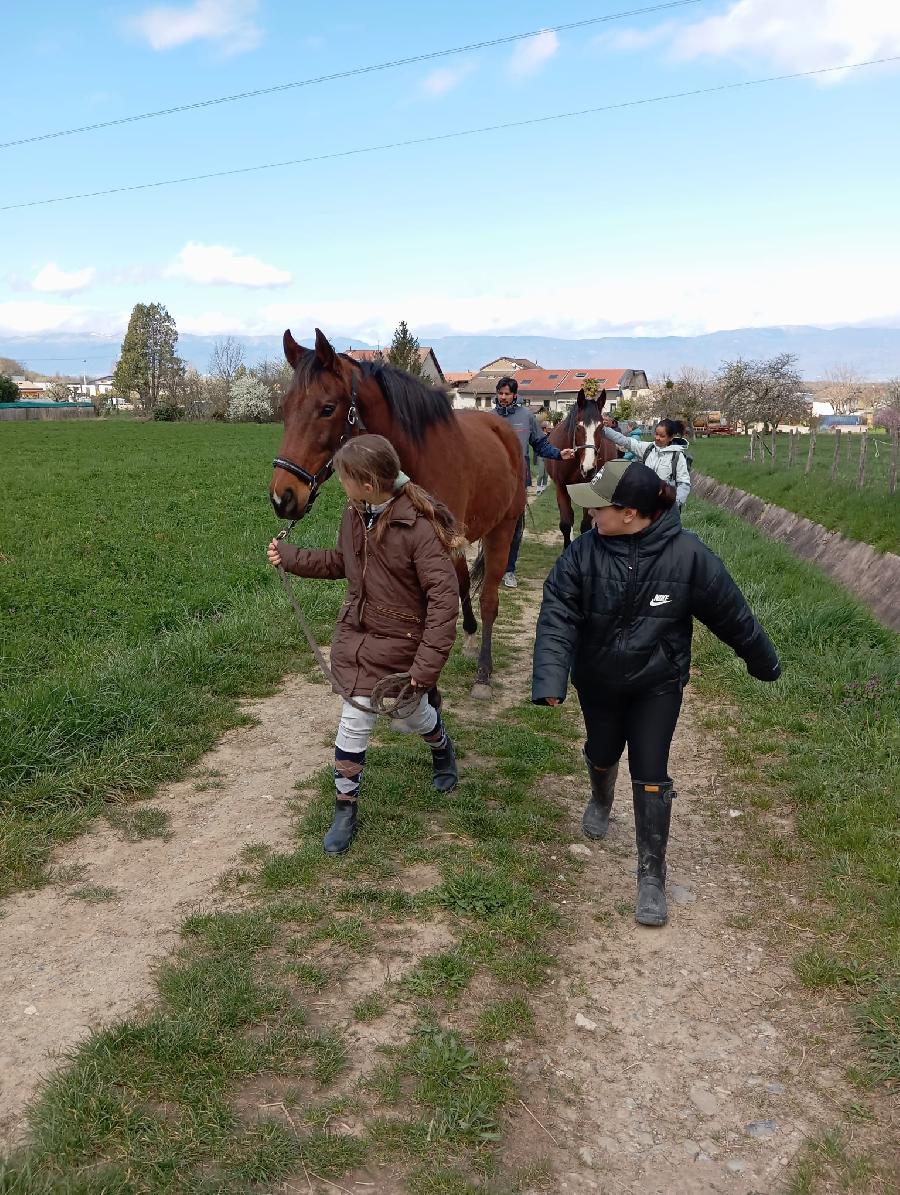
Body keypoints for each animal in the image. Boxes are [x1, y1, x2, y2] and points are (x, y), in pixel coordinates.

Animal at [268, 329, 518, 697]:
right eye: (285, 408)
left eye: (327, 408)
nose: (282, 497)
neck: (416, 456)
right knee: (462, 582)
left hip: (503, 528)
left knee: (488, 597)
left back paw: (483, 672)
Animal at [540, 389, 616, 547]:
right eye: (578, 427)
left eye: (601, 427)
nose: (588, 469)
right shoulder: (561, 488)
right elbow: (566, 524)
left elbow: (586, 525)